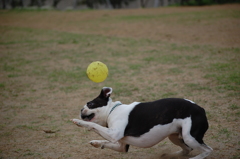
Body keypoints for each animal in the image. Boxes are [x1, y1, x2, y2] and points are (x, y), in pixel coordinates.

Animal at [71, 87, 212, 158]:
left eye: (90, 104)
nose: (81, 110)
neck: (112, 110)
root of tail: (201, 109)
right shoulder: (121, 146)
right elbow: (106, 142)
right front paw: (96, 143)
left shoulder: (113, 133)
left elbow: (93, 124)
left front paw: (78, 122)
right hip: (175, 137)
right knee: (187, 149)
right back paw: (170, 155)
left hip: (189, 137)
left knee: (207, 150)